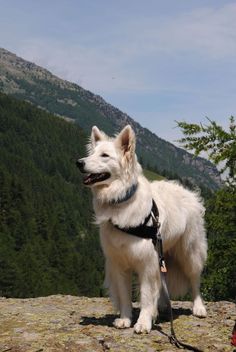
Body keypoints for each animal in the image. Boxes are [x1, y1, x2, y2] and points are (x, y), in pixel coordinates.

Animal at [77, 126, 206, 332]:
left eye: (104, 155)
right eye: (91, 154)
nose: (79, 163)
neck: (121, 201)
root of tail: (189, 193)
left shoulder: (146, 264)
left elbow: (146, 296)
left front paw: (144, 322)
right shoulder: (119, 264)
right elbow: (124, 296)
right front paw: (125, 319)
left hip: (189, 254)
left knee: (194, 281)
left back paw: (198, 307)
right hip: (162, 255)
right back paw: (162, 307)